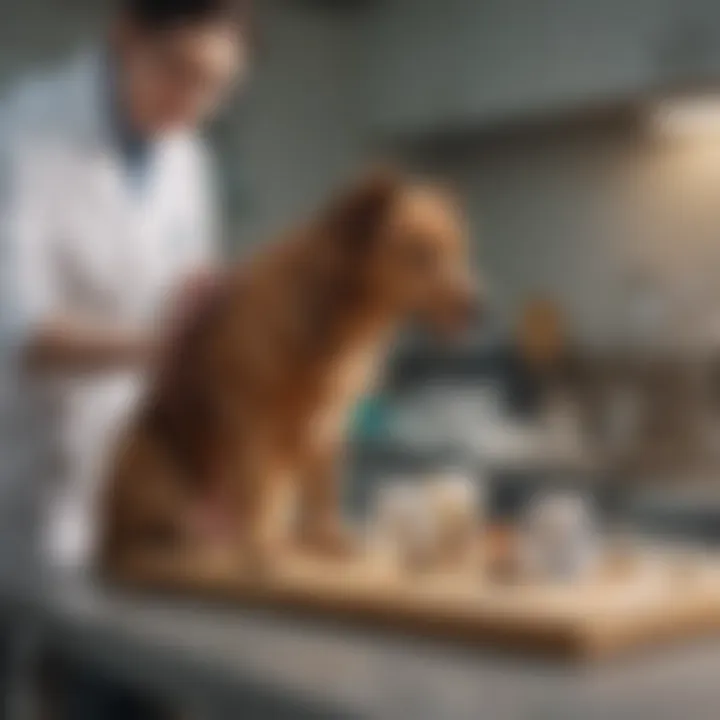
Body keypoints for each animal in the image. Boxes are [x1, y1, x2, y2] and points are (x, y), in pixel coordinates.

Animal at [100, 169, 478, 580]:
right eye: (418, 252)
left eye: (459, 250)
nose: (480, 308)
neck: (344, 322)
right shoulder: (253, 420)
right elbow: (259, 494)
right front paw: (264, 551)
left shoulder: (328, 424)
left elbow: (320, 493)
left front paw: (326, 541)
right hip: (148, 464)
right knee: (153, 531)